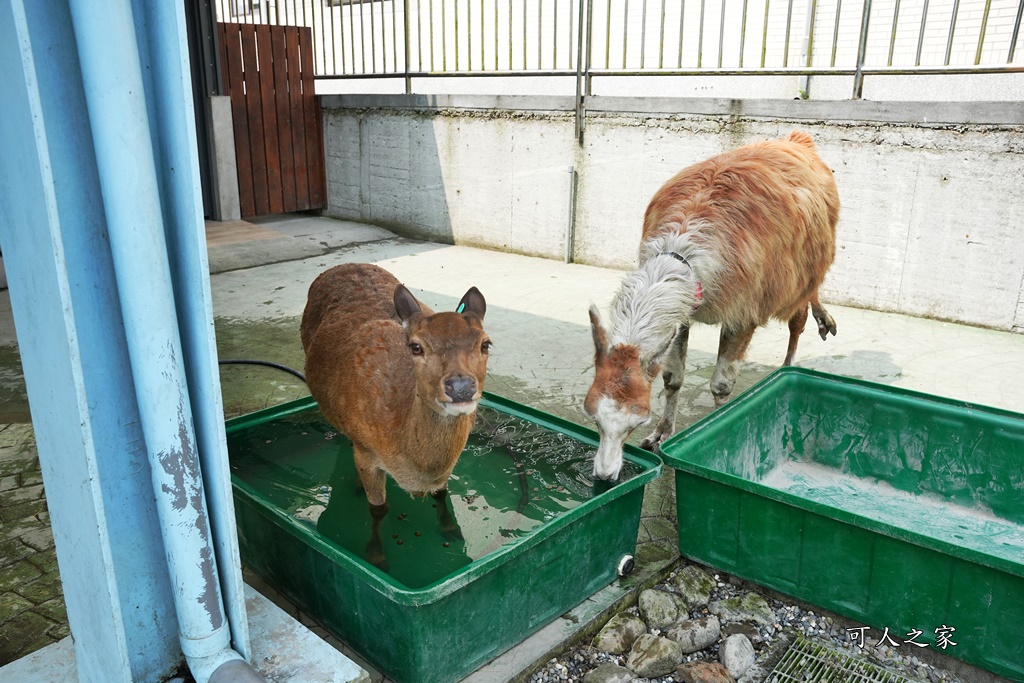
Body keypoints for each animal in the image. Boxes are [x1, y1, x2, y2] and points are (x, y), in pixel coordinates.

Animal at [299, 262, 491, 565]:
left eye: (485, 344)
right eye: (416, 346)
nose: (460, 386)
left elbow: (441, 493)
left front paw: (450, 530)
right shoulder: (367, 452)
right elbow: (379, 508)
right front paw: (376, 555)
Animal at [585, 129, 839, 481]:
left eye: (637, 421)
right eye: (594, 417)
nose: (605, 475)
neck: (687, 249)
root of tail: (796, 140)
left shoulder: (743, 310)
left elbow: (721, 385)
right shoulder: (683, 313)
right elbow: (672, 378)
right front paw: (661, 435)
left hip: (803, 265)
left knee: (798, 313)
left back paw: (792, 361)